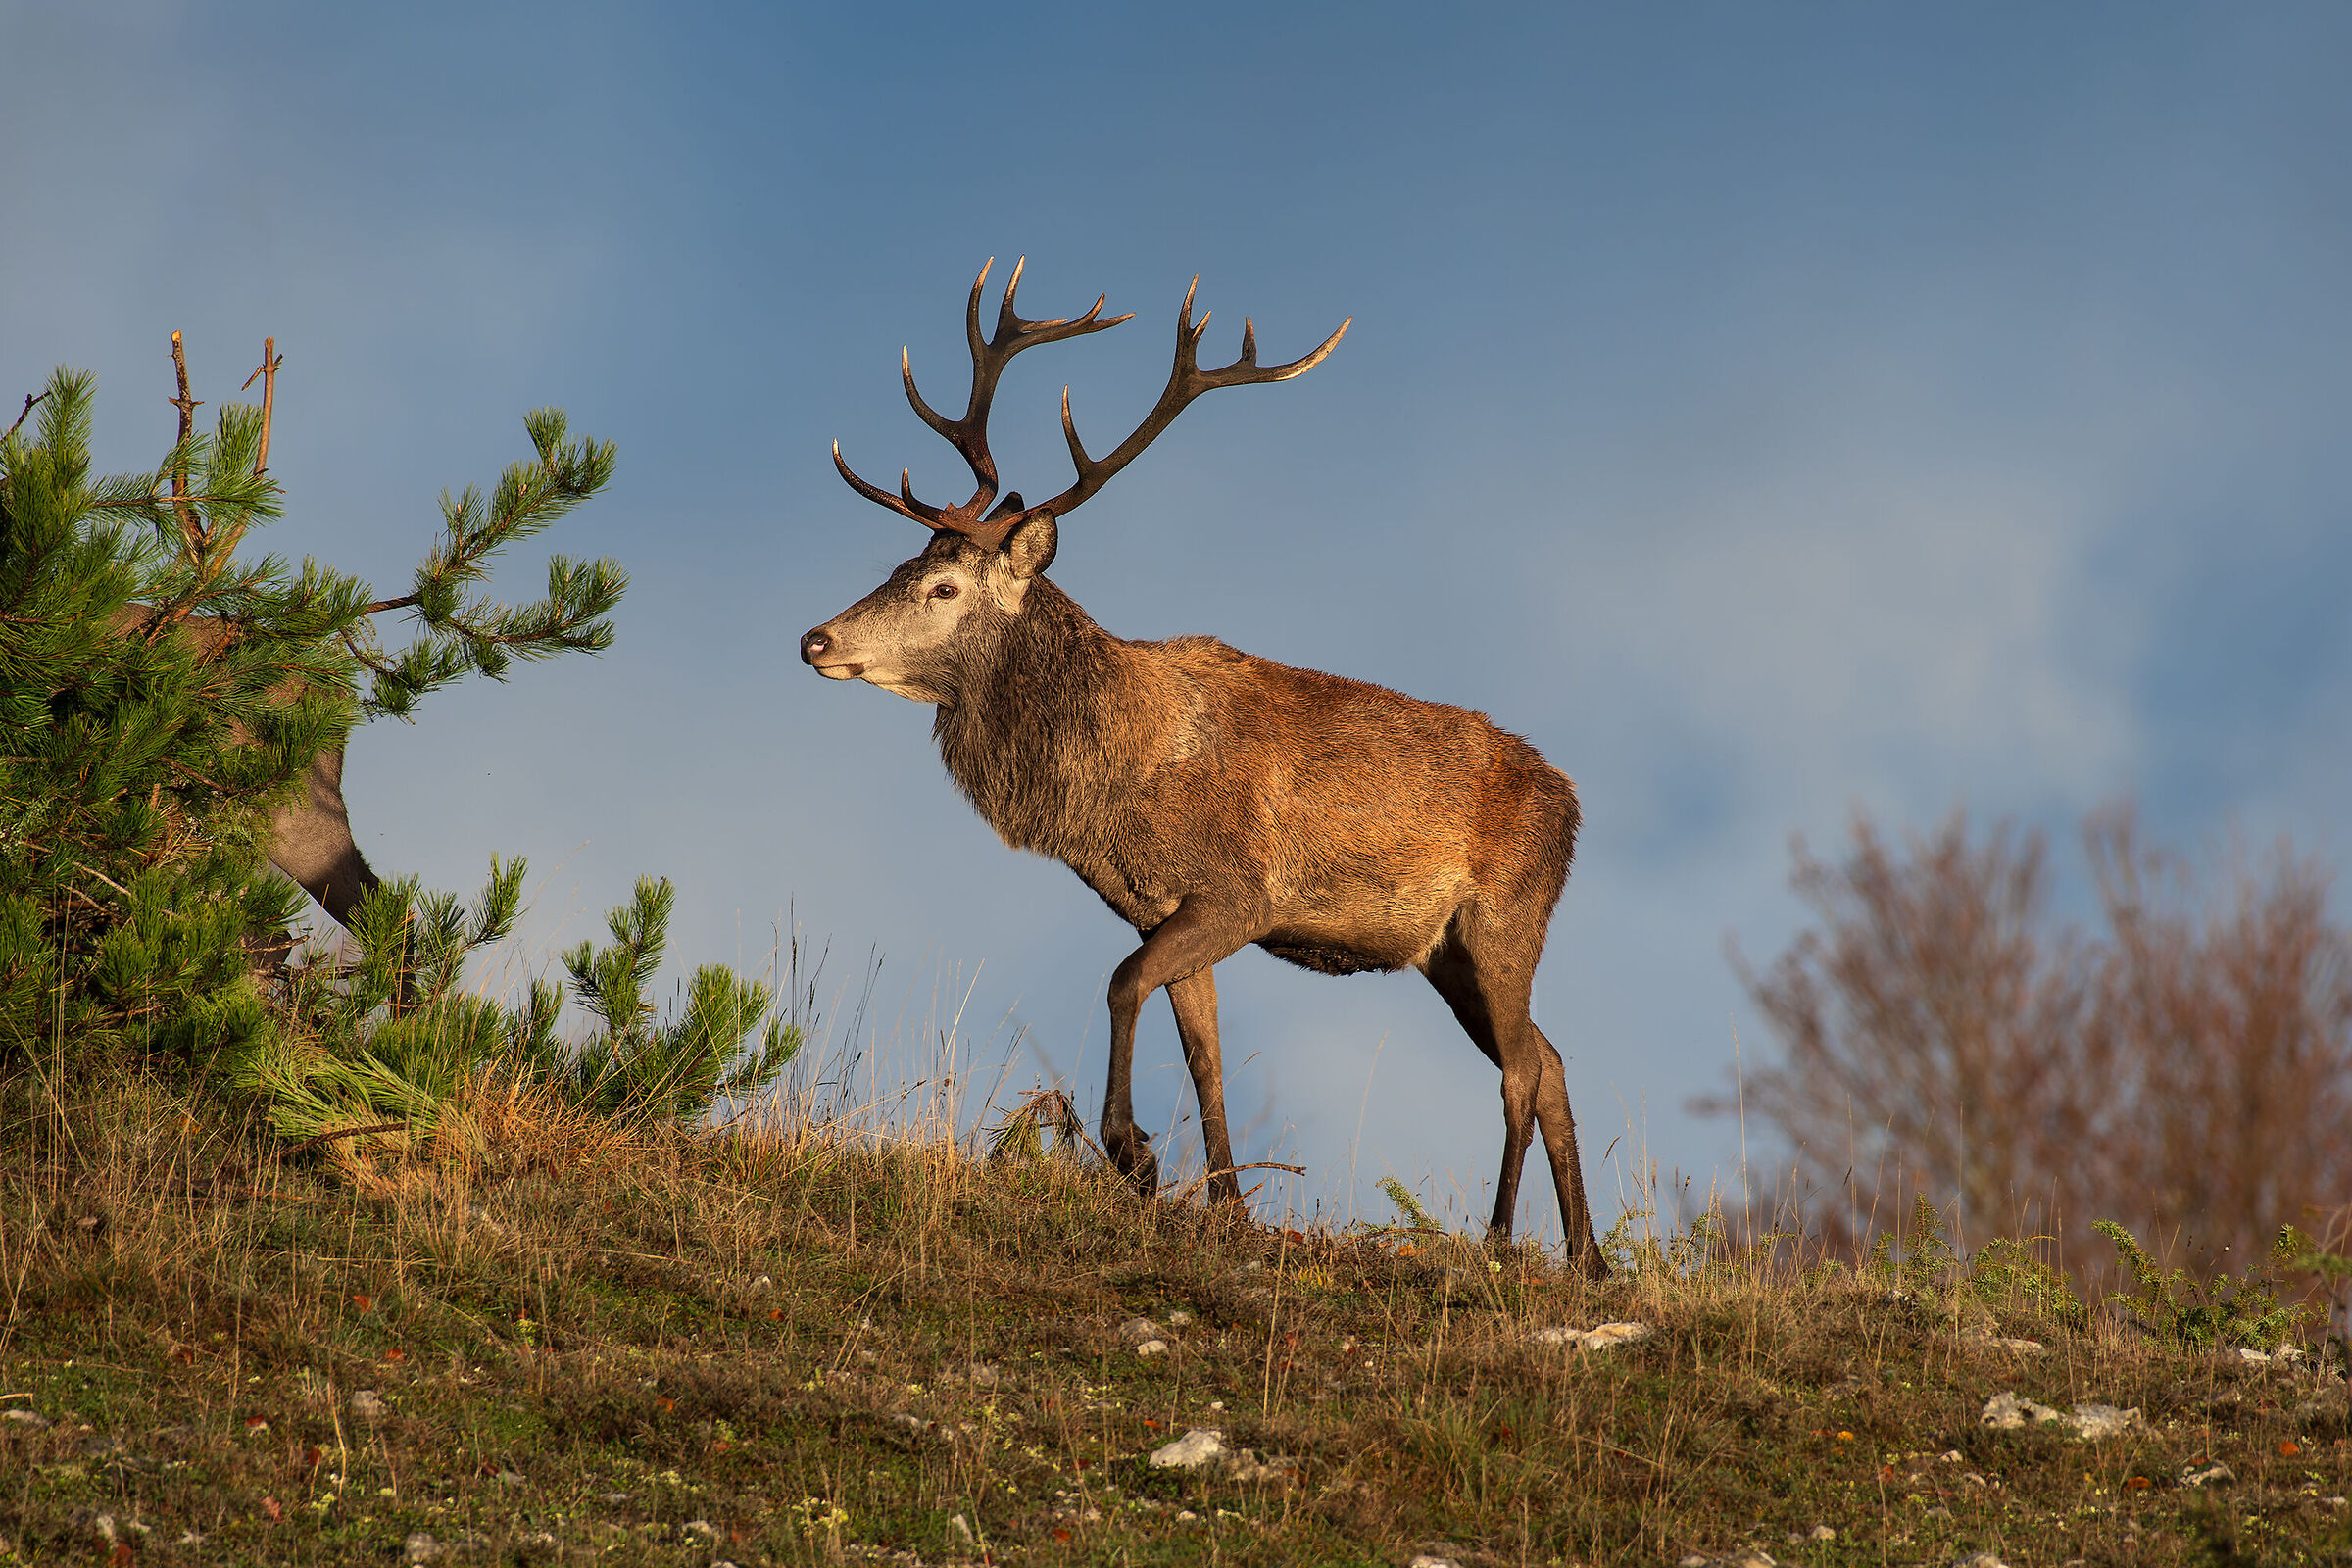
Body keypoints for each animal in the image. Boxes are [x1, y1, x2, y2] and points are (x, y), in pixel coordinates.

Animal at [801, 260, 1606, 1273]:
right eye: (899, 566)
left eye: (944, 586)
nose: (815, 640)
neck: (1108, 786)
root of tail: (1573, 804)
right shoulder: (1162, 906)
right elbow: (1205, 1057)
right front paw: (1227, 1206)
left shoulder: (1239, 893)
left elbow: (1120, 983)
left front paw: (1133, 1155)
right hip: (1443, 951)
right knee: (1553, 1061)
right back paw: (1589, 1259)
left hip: (1506, 915)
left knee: (1523, 1069)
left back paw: (1500, 1240)